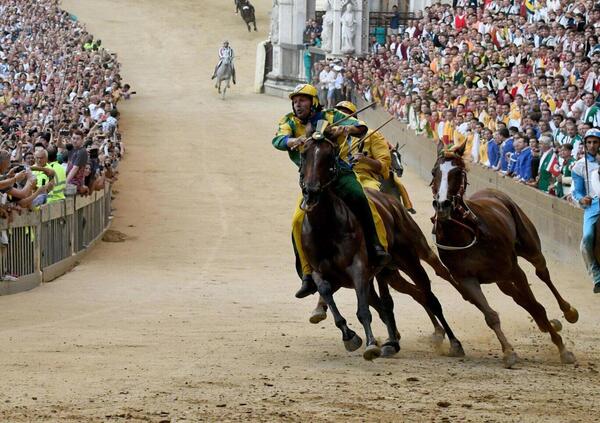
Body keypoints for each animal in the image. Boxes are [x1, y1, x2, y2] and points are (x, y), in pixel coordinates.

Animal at [300, 126, 464, 362]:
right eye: (304, 154)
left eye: (328, 156)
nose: (311, 192)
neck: (326, 226)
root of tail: (393, 204)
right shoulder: (320, 271)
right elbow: (328, 294)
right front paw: (350, 336)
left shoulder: (359, 267)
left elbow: (366, 309)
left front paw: (371, 344)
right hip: (389, 272)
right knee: (414, 294)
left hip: (412, 256)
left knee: (431, 291)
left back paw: (453, 339)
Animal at [428, 142, 580, 368]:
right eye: (434, 172)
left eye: (457, 172)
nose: (442, 205)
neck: (467, 232)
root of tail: (494, 191)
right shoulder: (466, 279)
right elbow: (491, 316)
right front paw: (508, 351)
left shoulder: (513, 269)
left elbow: (537, 305)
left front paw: (563, 350)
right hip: (501, 279)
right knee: (519, 297)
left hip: (529, 246)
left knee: (542, 273)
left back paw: (568, 311)